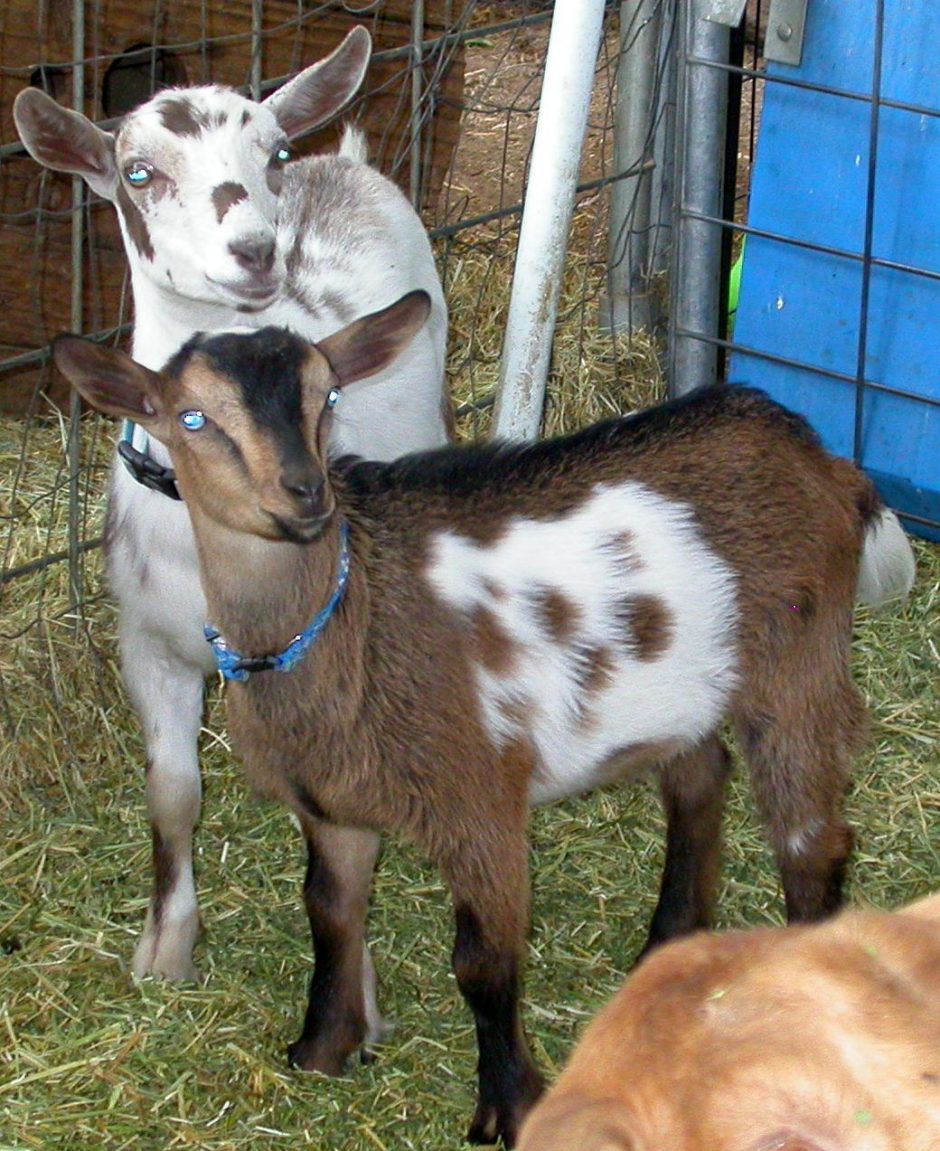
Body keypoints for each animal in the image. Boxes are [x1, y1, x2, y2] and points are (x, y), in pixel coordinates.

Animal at [15, 29, 450, 1015]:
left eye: (272, 154)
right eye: (137, 171)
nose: (255, 250)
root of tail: (346, 158)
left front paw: (355, 984)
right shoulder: (148, 641)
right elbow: (174, 791)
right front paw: (165, 948)